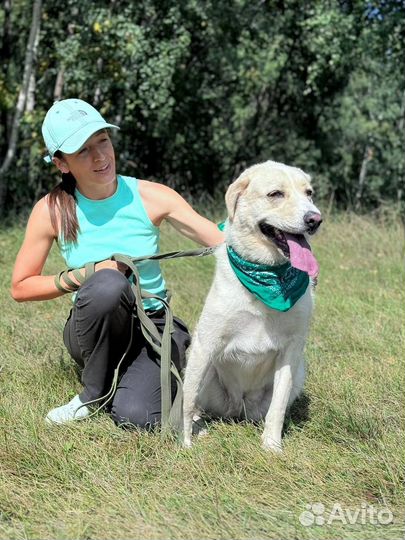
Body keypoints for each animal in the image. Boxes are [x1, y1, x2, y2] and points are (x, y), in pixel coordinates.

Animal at [183, 159, 322, 452]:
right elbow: (187, 402)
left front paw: (272, 446)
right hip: (202, 368)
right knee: (195, 402)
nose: (315, 219)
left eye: (309, 193)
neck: (268, 278)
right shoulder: (204, 344)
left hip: (297, 374)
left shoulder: (291, 351)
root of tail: (237, 408)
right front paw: (185, 443)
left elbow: (277, 408)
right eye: (276, 194)